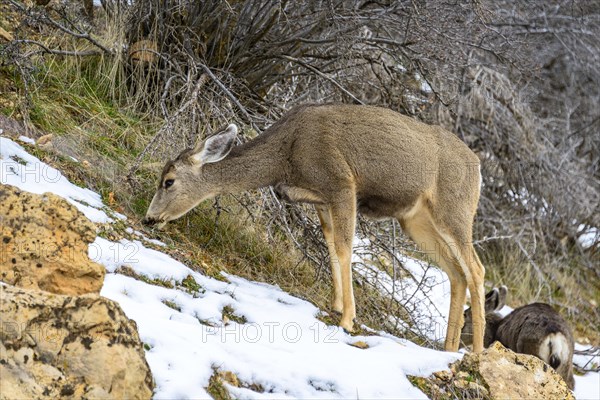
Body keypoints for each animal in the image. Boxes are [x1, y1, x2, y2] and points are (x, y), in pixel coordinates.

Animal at [142, 104, 488, 352]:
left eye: (168, 181)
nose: (149, 218)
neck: (286, 155)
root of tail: (478, 166)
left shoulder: (341, 183)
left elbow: (346, 249)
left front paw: (348, 320)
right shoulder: (321, 199)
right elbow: (331, 245)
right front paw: (336, 306)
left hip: (454, 209)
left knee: (476, 268)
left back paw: (476, 353)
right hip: (415, 220)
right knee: (456, 273)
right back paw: (448, 348)